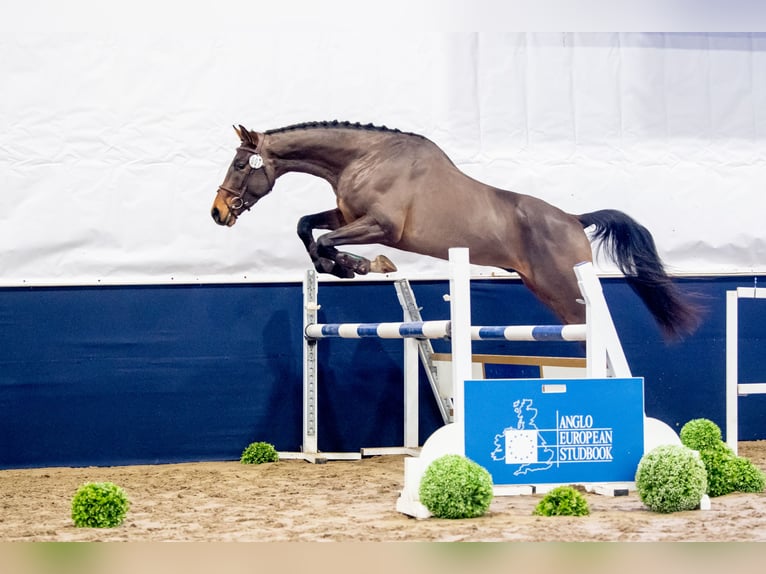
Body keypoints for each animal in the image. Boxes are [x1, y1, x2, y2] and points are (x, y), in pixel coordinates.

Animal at [211, 121, 701, 340]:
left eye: (241, 165)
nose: (218, 213)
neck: (364, 159)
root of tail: (573, 219)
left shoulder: (381, 226)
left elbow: (327, 240)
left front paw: (359, 265)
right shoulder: (348, 216)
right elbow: (306, 227)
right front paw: (346, 266)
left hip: (563, 284)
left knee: (592, 324)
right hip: (545, 289)